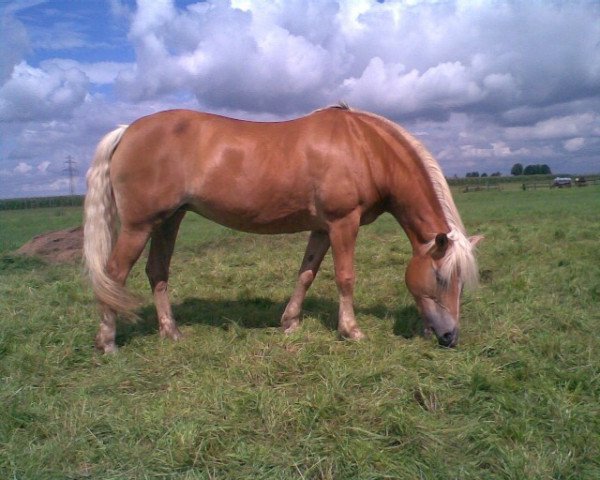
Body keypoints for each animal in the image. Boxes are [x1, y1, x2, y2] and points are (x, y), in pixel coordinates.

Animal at [83, 105, 482, 352]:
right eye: (441, 277)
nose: (450, 337)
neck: (365, 148)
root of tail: (127, 132)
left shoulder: (322, 228)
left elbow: (307, 272)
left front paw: (290, 322)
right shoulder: (343, 222)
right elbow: (345, 276)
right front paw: (351, 330)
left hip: (169, 220)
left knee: (157, 272)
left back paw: (171, 333)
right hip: (139, 225)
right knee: (114, 274)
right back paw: (108, 342)